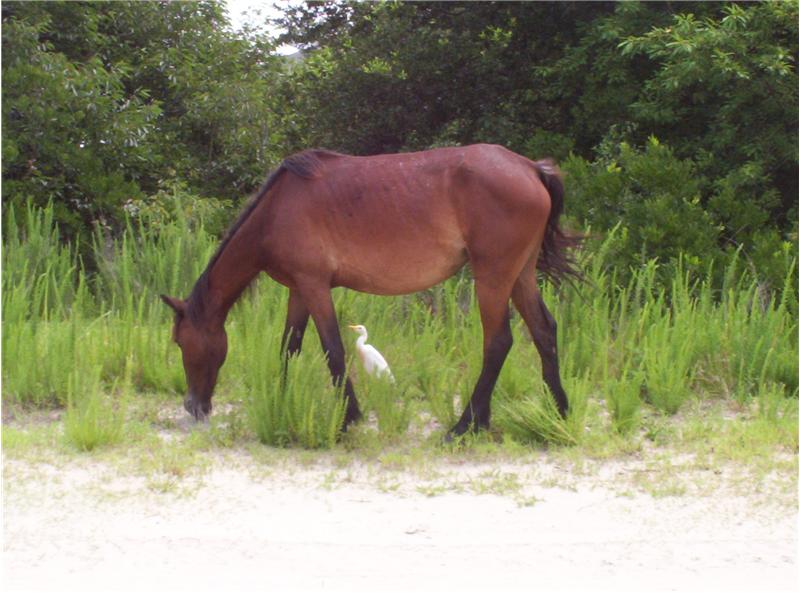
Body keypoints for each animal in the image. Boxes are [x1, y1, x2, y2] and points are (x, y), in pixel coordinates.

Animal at [161, 143, 581, 438]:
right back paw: (556, 412)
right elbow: (289, 347)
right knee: (544, 331)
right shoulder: (300, 289)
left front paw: (349, 418)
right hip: (520, 275)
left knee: (498, 342)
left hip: (493, 277)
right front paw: (280, 401)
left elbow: (332, 349)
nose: (192, 406)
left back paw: (466, 426)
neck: (277, 211)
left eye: (181, 342)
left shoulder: (314, 287)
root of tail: (531, 168)